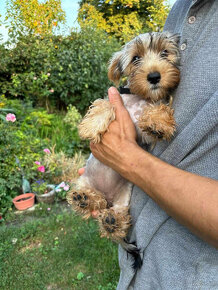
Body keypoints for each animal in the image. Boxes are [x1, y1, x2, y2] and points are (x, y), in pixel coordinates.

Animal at [68, 31, 181, 270]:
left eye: (165, 53)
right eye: (136, 58)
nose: (154, 76)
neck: (139, 98)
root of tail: (106, 198)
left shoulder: (143, 137)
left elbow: (156, 109)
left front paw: (159, 121)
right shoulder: (115, 99)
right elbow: (105, 104)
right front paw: (91, 126)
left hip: (123, 198)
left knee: (115, 216)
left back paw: (111, 222)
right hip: (84, 181)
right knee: (87, 198)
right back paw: (84, 199)